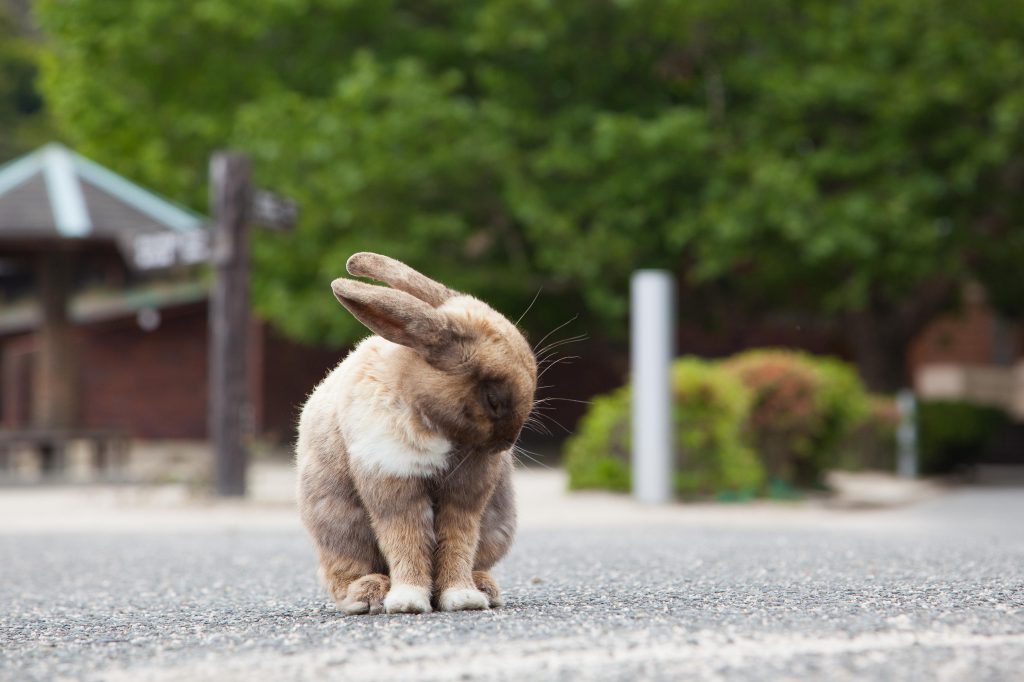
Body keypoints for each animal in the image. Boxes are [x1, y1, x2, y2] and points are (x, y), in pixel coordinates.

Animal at [294, 251, 540, 614]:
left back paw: (485, 588)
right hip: (337, 530)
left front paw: (462, 598)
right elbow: (406, 539)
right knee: (343, 572)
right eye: (494, 400)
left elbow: (458, 542)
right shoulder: (393, 481)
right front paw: (408, 601)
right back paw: (368, 596)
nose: (506, 443)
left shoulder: (466, 495)